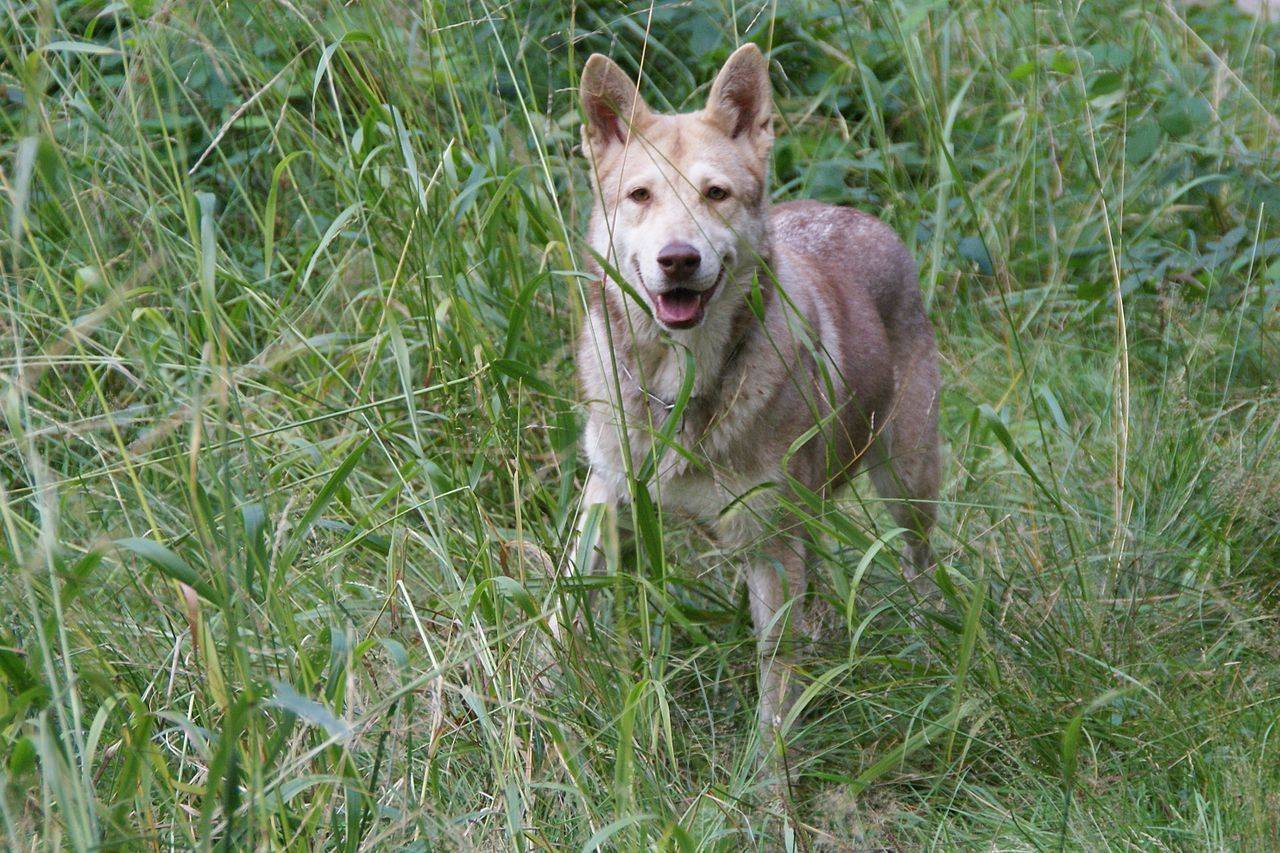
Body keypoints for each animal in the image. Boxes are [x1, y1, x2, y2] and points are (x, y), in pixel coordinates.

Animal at [570, 44, 942, 753]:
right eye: (639, 195)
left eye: (715, 194)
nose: (678, 259)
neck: (680, 390)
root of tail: (858, 214)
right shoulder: (607, 495)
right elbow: (566, 606)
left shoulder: (769, 546)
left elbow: (775, 686)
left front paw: (770, 779)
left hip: (907, 486)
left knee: (918, 563)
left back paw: (928, 638)